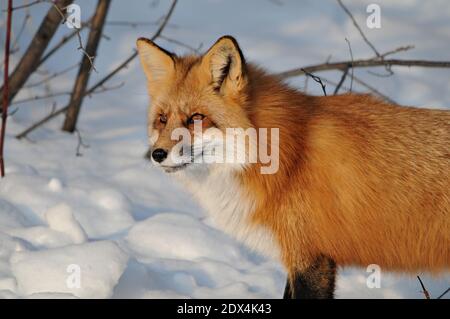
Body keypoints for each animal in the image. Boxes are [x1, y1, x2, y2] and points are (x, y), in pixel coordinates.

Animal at [136, 35, 450, 300]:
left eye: (196, 118)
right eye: (162, 119)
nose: (157, 154)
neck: (290, 155)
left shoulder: (311, 259)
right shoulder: (297, 258)